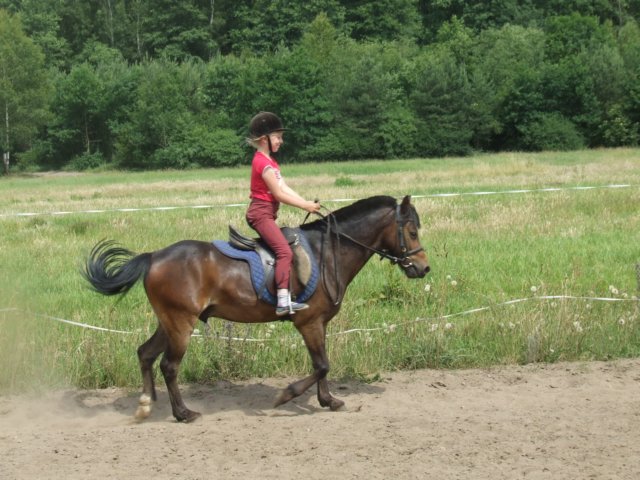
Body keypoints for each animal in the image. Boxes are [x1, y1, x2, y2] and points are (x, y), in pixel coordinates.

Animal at [82, 195, 430, 422]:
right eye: (412, 231)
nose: (423, 268)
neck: (327, 252)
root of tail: (153, 256)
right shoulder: (308, 322)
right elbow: (322, 365)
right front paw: (286, 395)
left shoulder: (320, 323)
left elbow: (323, 364)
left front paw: (328, 400)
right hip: (181, 323)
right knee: (169, 365)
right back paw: (182, 413)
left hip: (168, 321)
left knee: (145, 354)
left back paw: (146, 403)